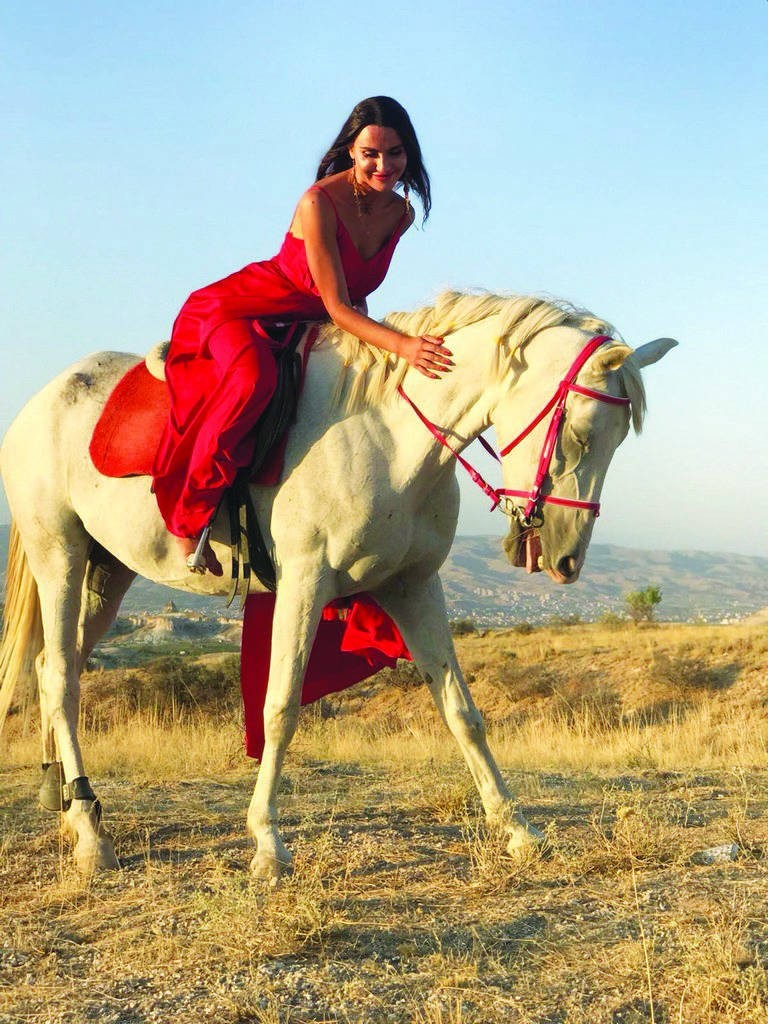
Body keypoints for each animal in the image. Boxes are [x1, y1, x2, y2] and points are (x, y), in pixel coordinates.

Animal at [0, 289, 676, 880]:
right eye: (581, 434)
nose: (566, 559)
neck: (389, 436)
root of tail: (40, 401)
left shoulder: (415, 586)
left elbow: (461, 710)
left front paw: (516, 828)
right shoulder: (303, 583)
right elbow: (279, 709)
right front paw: (267, 843)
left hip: (108, 570)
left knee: (60, 668)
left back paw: (69, 809)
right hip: (59, 554)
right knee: (60, 678)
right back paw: (91, 836)